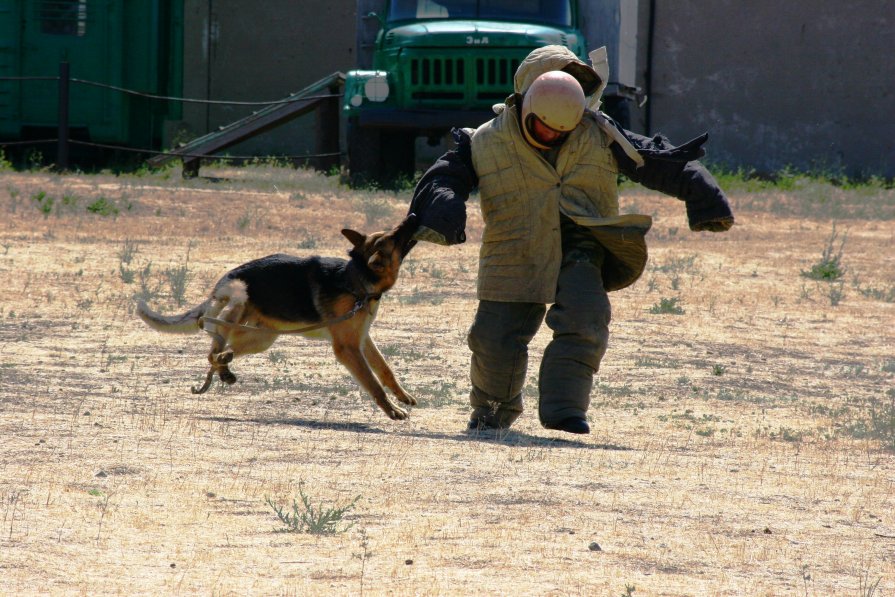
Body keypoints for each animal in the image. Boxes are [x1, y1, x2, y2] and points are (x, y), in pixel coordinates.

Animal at [137, 214, 424, 420]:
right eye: (395, 236)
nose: (413, 216)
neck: (356, 280)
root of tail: (225, 278)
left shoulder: (362, 339)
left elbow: (385, 370)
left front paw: (402, 396)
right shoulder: (347, 348)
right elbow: (373, 383)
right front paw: (392, 410)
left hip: (263, 338)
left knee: (224, 349)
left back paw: (225, 367)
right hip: (237, 300)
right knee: (213, 349)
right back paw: (221, 364)